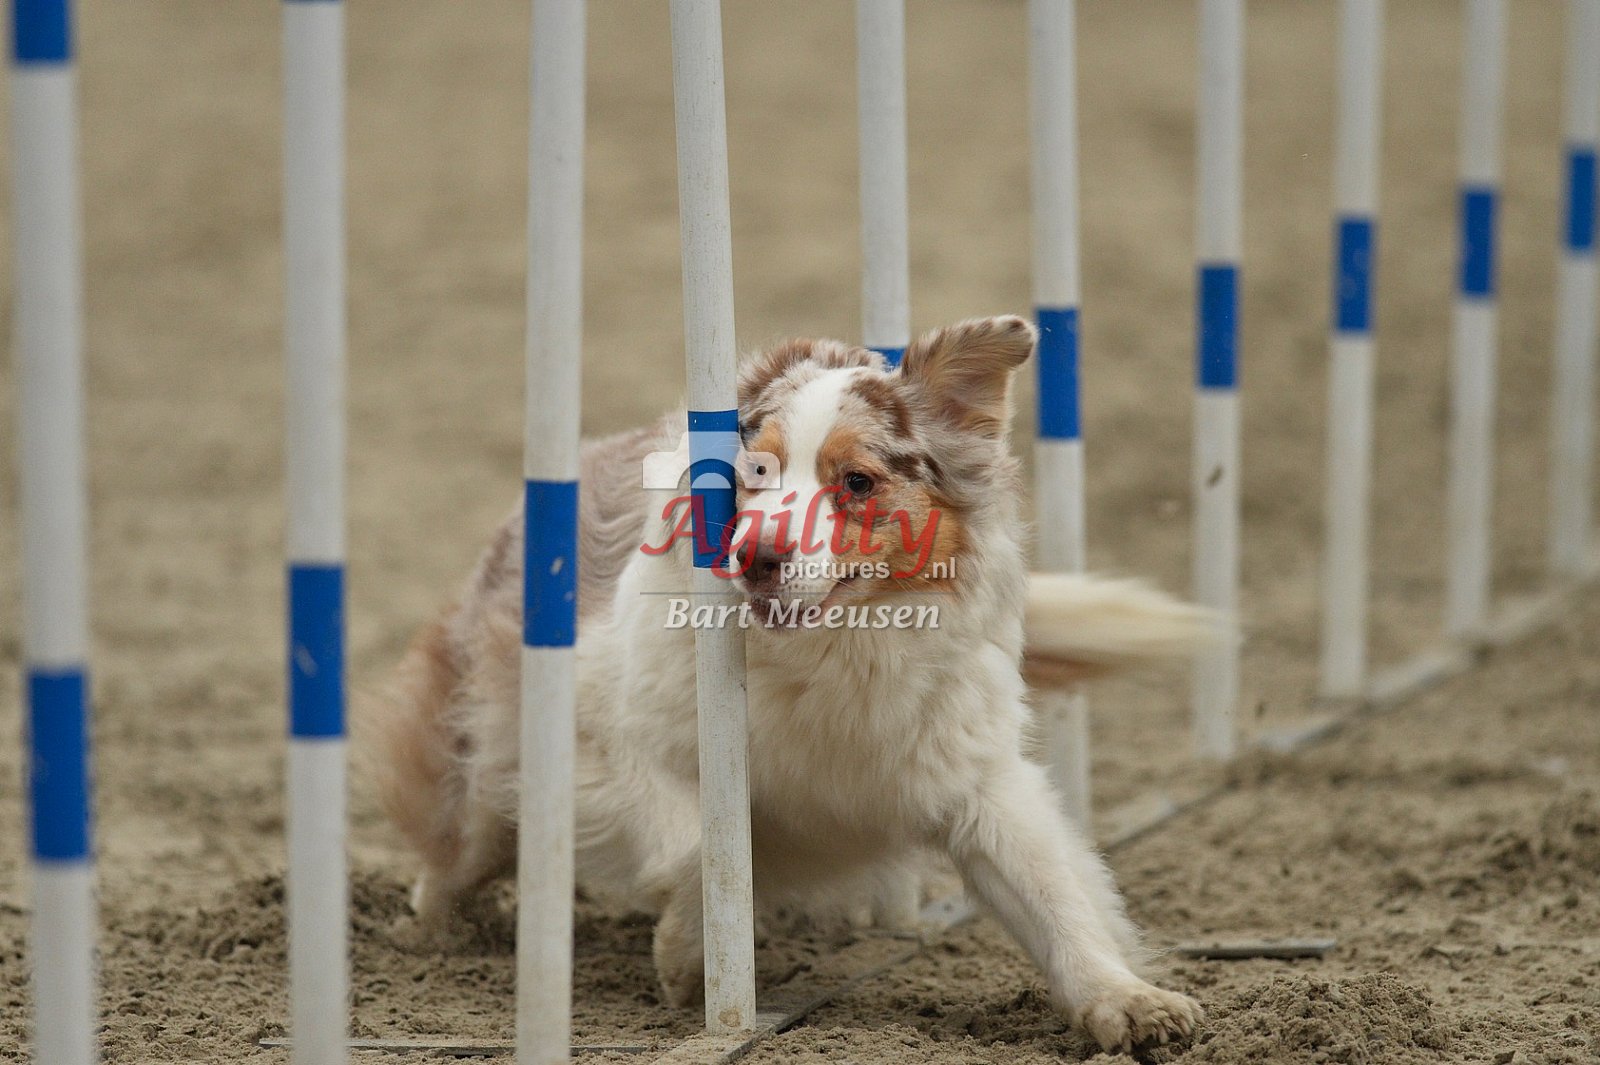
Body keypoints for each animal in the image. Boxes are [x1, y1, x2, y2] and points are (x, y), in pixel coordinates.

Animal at [363, 315, 1209, 1053]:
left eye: (857, 480)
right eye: (754, 473)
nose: (757, 555)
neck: (835, 649)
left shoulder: (974, 778)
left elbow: (1055, 895)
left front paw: (1127, 999)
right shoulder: (603, 738)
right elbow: (699, 845)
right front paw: (687, 950)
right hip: (494, 746)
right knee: (461, 843)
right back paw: (423, 933)